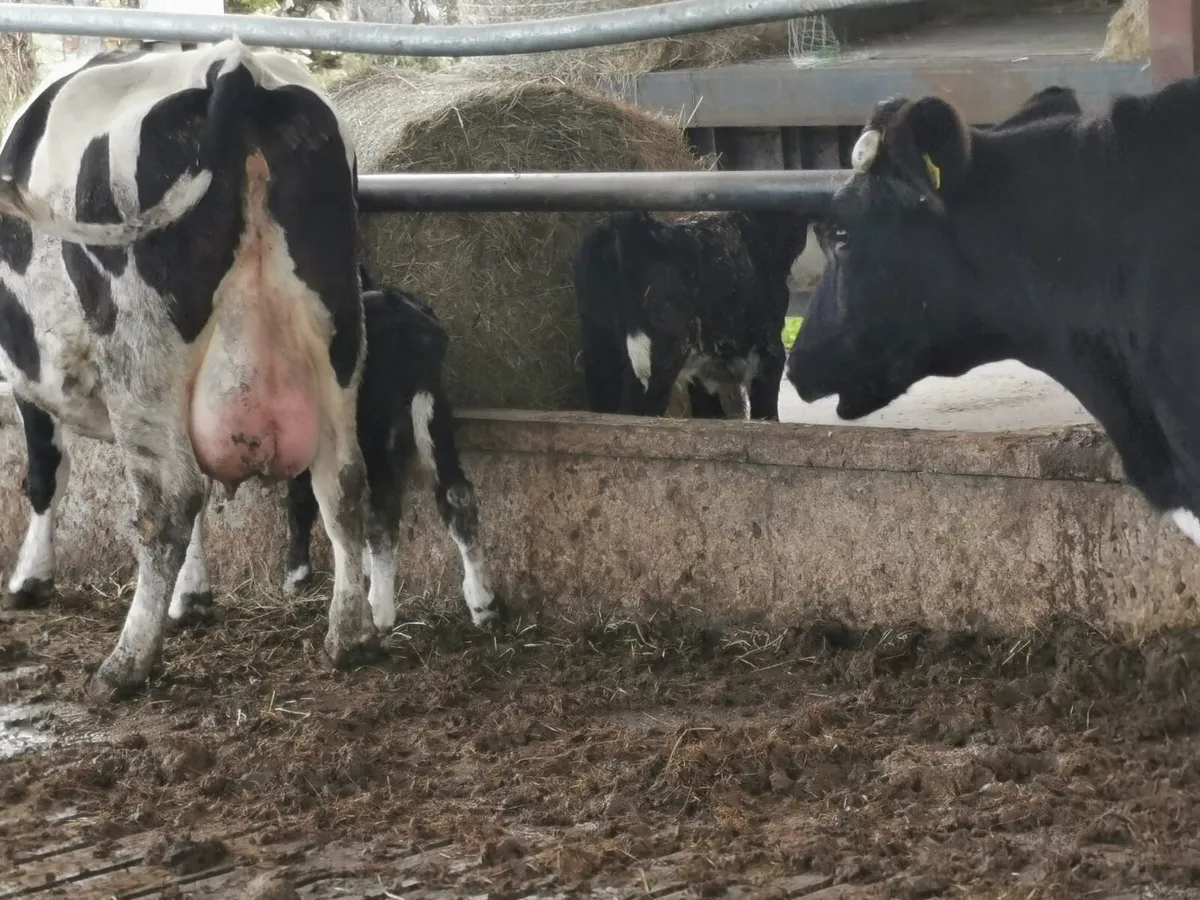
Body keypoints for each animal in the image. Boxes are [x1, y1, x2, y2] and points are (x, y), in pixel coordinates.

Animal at [0, 40, 378, 699]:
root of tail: (234, 64)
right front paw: (193, 597)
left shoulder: (30, 374)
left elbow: (46, 474)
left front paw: (30, 580)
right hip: (336, 333)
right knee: (342, 482)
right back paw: (348, 637)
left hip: (138, 347)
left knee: (169, 501)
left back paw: (125, 663)